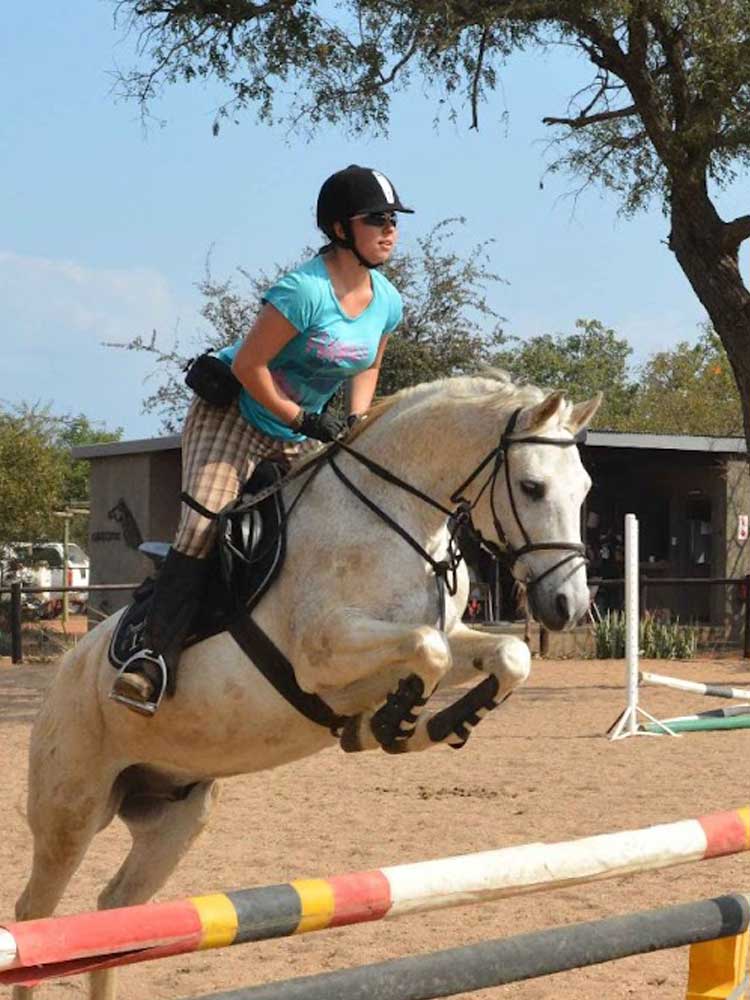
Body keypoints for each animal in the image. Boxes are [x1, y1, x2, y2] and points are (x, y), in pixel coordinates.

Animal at [12, 372, 600, 1000]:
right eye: (533, 487)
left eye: (584, 489)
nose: (566, 606)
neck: (398, 517)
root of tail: (62, 674)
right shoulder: (324, 653)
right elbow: (429, 650)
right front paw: (390, 723)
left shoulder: (453, 632)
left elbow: (509, 655)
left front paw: (433, 723)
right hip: (71, 814)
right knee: (35, 919)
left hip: (176, 817)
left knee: (114, 912)